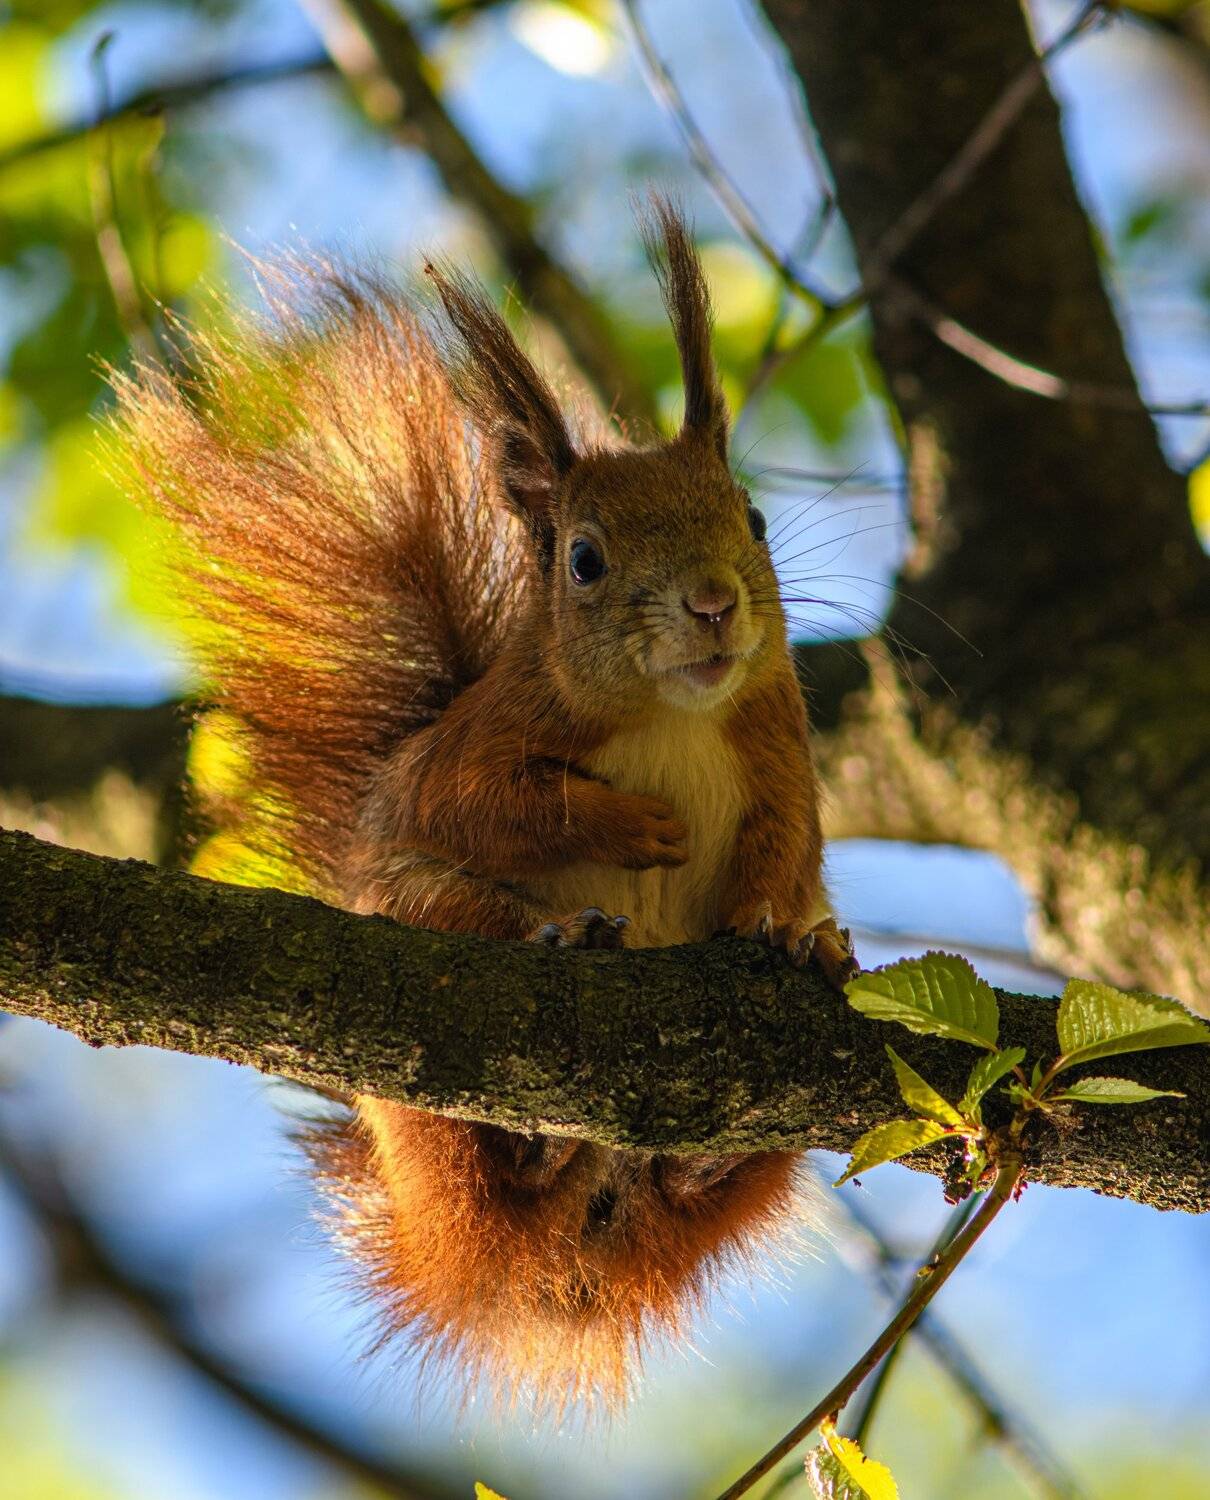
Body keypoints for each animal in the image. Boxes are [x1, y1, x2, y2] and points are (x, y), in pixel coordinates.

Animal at [109, 201, 857, 1414]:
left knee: (692, 1183)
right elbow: (491, 810)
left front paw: (776, 931)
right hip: (422, 954)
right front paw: (631, 828)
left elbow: (784, 850)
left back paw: (718, 1127)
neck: (672, 711)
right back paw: (556, 1015)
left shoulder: (780, 749)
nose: (712, 606)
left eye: (749, 515)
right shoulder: (469, 756)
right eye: (583, 560)